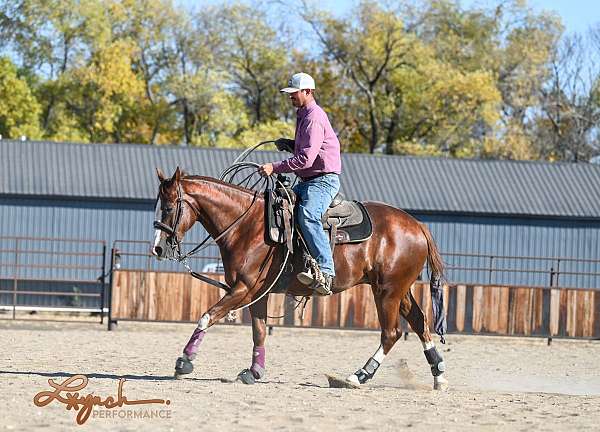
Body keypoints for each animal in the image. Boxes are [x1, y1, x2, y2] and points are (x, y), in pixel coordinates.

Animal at [152, 167, 448, 390]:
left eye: (168, 207)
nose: (157, 248)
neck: (247, 226)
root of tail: (418, 226)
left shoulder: (242, 288)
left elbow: (207, 316)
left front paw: (184, 362)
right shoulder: (257, 292)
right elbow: (259, 331)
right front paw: (253, 372)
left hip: (387, 291)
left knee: (392, 332)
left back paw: (358, 375)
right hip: (400, 289)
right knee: (419, 322)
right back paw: (439, 374)